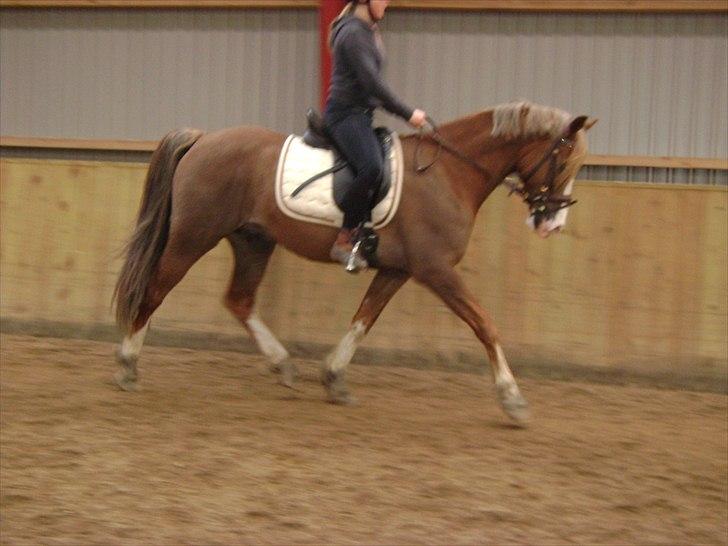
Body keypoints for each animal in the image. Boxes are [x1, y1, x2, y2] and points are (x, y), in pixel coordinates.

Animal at [112, 102, 592, 424]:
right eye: (564, 160)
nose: (553, 223)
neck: (448, 174)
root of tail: (203, 139)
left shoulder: (398, 270)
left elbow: (364, 319)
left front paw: (334, 378)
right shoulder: (435, 270)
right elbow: (484, 324)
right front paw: (513, 399)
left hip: (252, 241)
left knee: (239, 300)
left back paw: (283, 365)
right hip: (193, 237)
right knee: (154, 290)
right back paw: (128, 365)